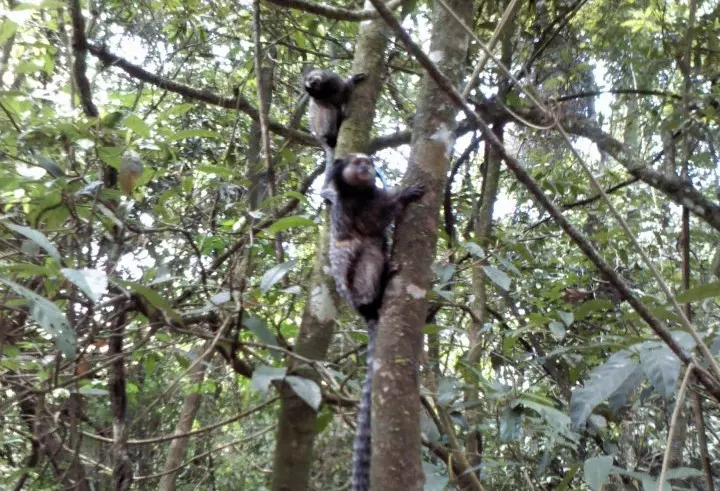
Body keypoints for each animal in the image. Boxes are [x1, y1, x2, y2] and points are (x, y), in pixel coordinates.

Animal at [320, 154, 422, 491]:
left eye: (367, 160)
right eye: (357, 163)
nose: (366, 167)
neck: (361, 192)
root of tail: (362, 311)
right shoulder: (350, 207)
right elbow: (366, 226)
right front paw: (402, 196)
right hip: (356, 288)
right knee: (366, 250)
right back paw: (378, 289)